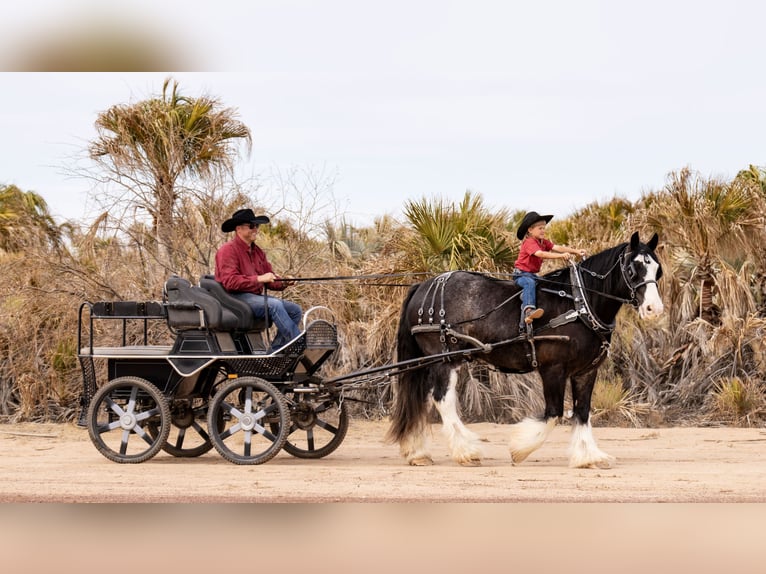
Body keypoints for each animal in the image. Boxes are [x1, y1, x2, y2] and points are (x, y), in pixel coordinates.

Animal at [390, 232, 664, 470]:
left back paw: (418, 452)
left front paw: (588, 456)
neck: (579, 304)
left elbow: (582, 412)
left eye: (657, 270)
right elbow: (553, 413)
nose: (655, 309)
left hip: (430, 360)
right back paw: (466, 451)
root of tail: (423, 285)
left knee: (421, 399)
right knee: (442, 399)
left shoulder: (585, 371)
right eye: (633, 269)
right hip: (444, 359)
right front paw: (520, 449)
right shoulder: (552, 369)